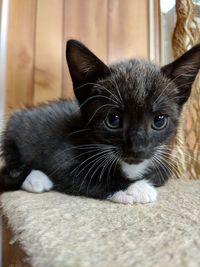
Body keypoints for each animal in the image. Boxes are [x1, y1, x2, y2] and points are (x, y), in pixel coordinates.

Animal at [0, 39, 200, 204]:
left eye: (159, 121)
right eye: (113, 119)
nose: (137, 148)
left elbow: (160, 174)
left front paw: (143, 180)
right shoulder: (61, 156)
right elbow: (85, 175)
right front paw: (136, 188)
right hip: (13, 131)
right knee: (13, 169)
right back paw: (36, 179)